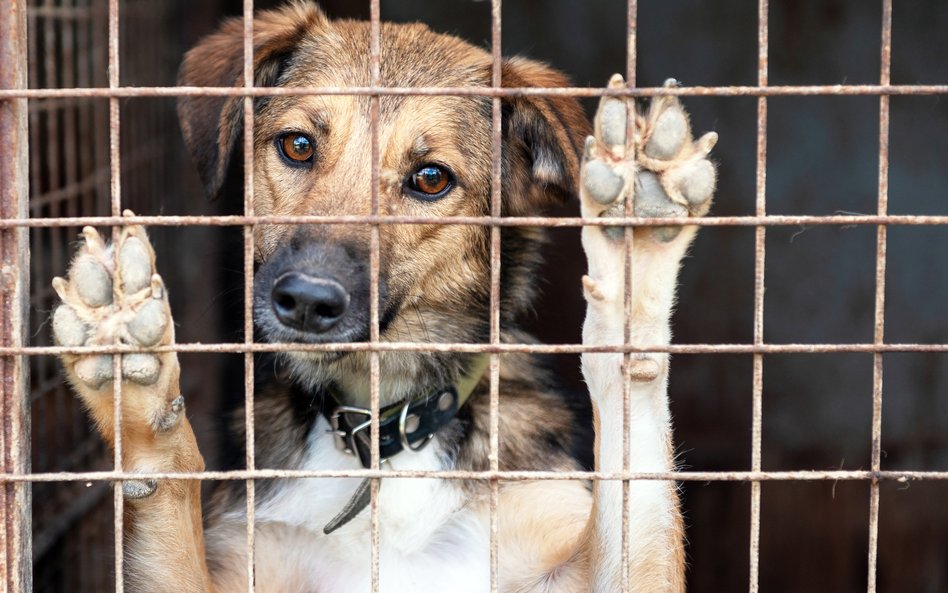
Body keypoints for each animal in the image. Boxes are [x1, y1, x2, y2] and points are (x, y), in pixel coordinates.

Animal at [50, 2, 720, 588]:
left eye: (430, 179)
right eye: (297, 145)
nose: (307, 301)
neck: (382, 435)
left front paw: (636, 237)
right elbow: (169, 480)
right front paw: (132, 380)